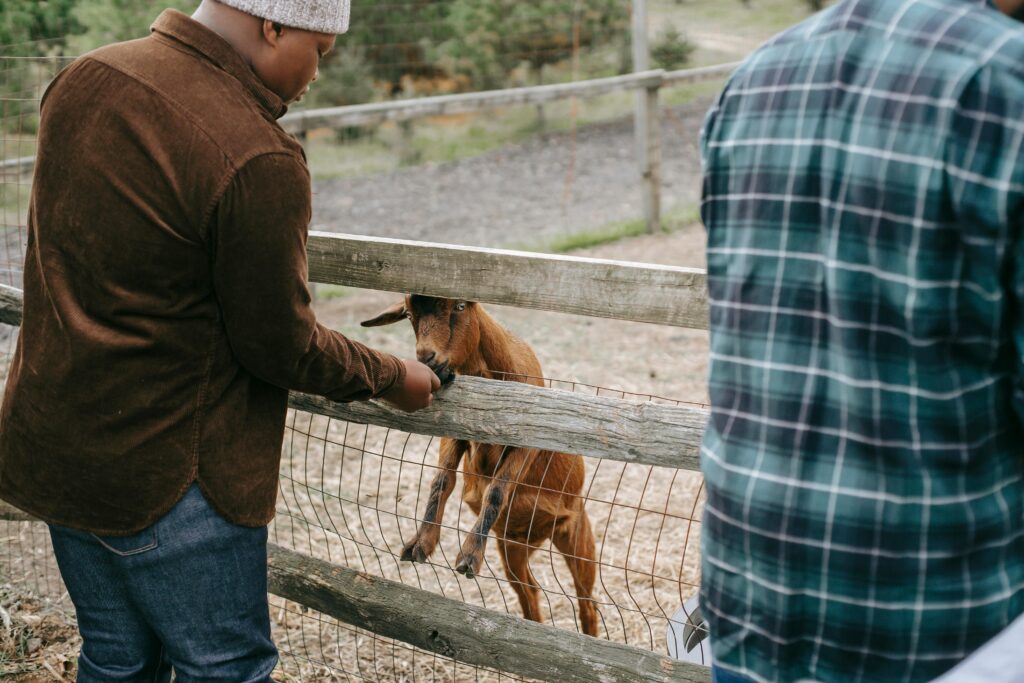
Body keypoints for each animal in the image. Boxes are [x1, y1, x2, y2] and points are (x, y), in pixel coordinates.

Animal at [362, 296, 598, 638]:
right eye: (408, 313)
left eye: (460, 306)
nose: (427, 358)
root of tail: (535, 536)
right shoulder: (457, 427)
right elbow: (442, 480)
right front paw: (421, 544)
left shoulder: (525, 440)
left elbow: (497, 490)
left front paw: (469, 556)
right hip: (511, 546)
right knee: (529, 591)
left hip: (576, 535)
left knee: (586, 602)